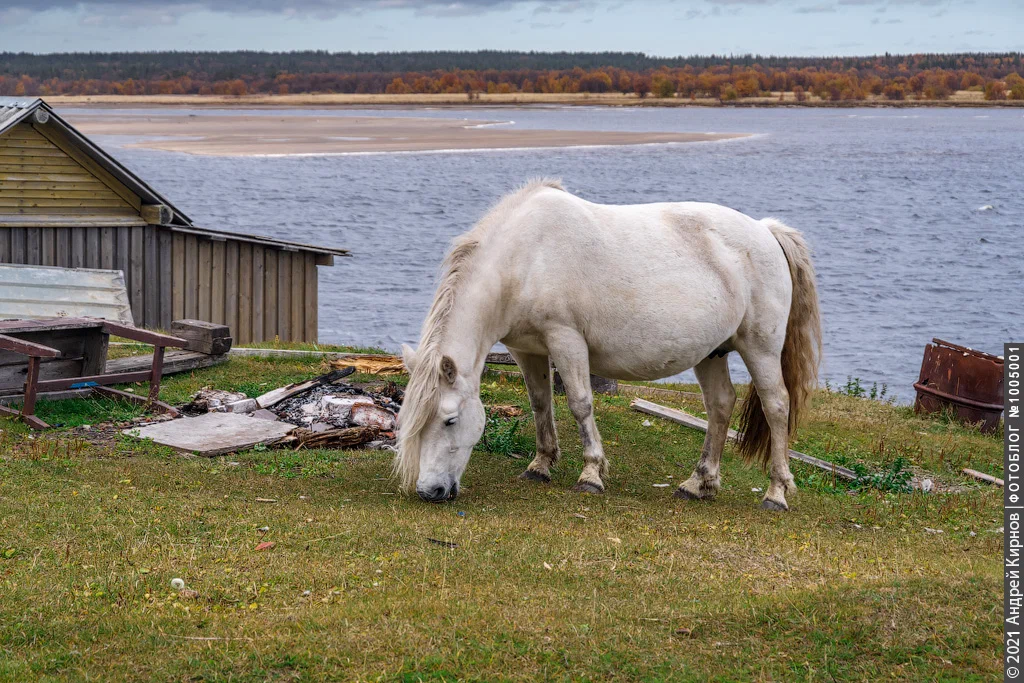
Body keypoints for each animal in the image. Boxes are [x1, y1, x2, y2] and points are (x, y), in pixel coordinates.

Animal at [395, 179, 819, 509]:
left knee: (776, 406)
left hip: (760, 348)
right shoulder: (526, 349)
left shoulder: (565, 339)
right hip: (711, 353)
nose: (431, 491)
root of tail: (765, 230)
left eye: (450, 420)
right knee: (720, 405)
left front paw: (590, 475)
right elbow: (539, 403)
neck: (527, 258)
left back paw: (776, 494)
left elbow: (580, 404)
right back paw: (699, 484)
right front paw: (540, 465)